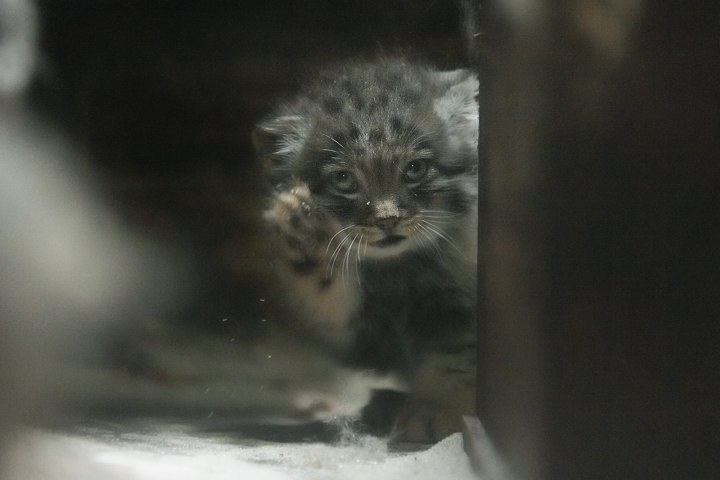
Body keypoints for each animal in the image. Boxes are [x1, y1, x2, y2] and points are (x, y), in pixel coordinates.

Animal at [253, 59, 478, 438]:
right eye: (343, 179)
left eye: (415, 169)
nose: (386, 219)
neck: (398, 270)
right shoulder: (366, 339)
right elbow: (326, 299)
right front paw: (304, 236)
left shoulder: (458, 303)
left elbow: (457, 355)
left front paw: (442, 408)